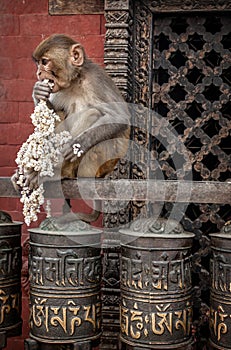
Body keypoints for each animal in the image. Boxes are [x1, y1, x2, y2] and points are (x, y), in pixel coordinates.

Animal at [11, 33, 130, 224]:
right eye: (38, 64)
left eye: (45, 62)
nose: (38, 73)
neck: (76, 79)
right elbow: (51, 113)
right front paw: (38, 92)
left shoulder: (95, 79)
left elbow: (119, 117)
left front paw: (79, 143)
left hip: (99, 162)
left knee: (93, 114)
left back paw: (56, 170)